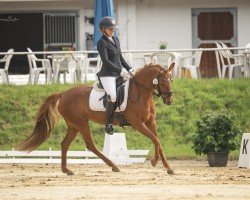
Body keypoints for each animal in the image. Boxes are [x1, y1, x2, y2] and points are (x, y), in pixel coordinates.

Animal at [16, 63, 175, 175]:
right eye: (163, 81)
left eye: (171, 80)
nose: (169, 101)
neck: (140, 93)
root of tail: (63, 93)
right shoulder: (138, 124)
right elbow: (155, 140)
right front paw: (154, 161)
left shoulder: (151, 122)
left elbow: (157, 141)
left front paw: (168, 168)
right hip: (81, 123)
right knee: (90, 145)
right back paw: (114, 166)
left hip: (73, 125)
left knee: (65, 144)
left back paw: (66, 170)